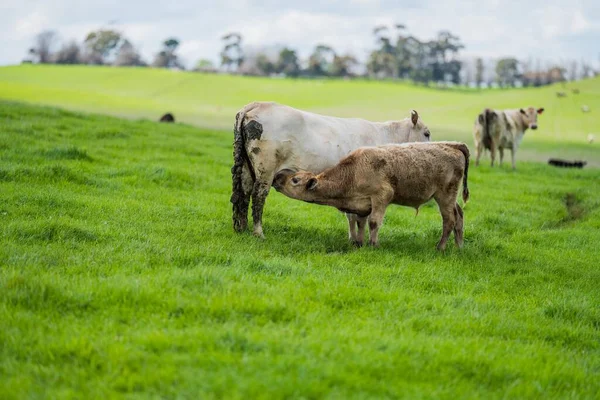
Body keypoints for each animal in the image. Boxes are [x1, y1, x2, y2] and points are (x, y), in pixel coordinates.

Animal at [230, 101, 432, 238]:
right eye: (427, 133)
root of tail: (257, 105)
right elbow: (359, 217)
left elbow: (352, 215)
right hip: (265, 168)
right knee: (258, 195)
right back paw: (258, 232)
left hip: (247, 169)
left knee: (244, 193)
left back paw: (242, 228)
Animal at [272, 141, 468, 250]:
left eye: (295, 180)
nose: (277, 176)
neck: (353, 172)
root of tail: (453, 145)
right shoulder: (362, 204)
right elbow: (360, 222)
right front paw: (359, 242)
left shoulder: (382, 196)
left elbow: (373, 222)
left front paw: (373, 244)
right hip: (450, 198)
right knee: (459, 216)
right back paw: (458, 246)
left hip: (444, 196)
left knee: (449, 220)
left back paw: (441, 247)